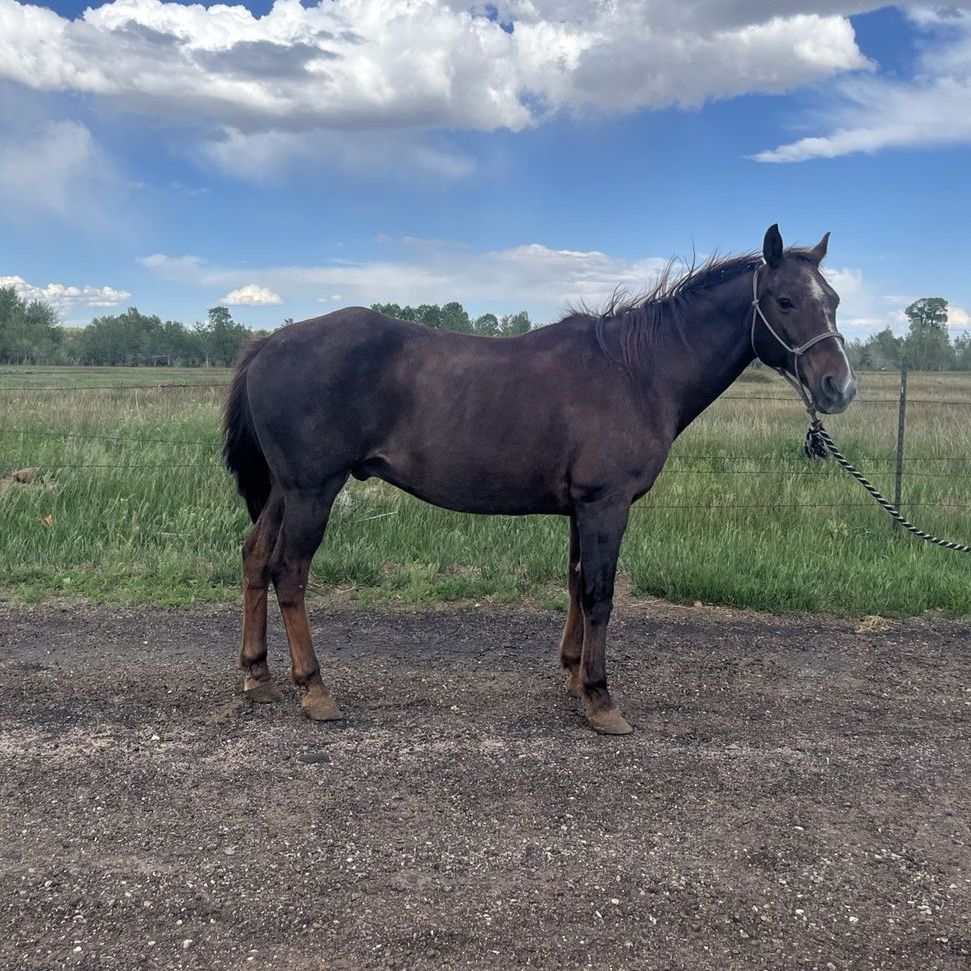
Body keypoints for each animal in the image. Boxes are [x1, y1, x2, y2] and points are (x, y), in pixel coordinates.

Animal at [222, 224, 856, 735]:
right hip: (313, 490)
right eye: (785, 300)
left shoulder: (583, 508)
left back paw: (258, 676)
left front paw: (575, 675)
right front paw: (601, 701)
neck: (638, 371)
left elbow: (577, 584)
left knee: (255, 558)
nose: (839, 387)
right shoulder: (606, 504)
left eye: (834, 300)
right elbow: (600, 593)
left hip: (284, 491)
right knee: (289, 572)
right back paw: (314, 690)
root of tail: (267, 343)